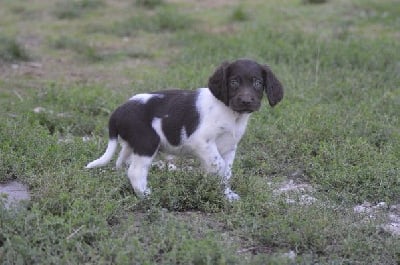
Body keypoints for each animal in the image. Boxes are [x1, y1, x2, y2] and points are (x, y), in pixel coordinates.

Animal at [86, 58, 282, 200]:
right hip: (147, 142)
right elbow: (219, 166)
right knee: (135, 172)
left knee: (121, 163)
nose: (246, 101)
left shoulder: (229, 148)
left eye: (258, 83)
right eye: (234, 82)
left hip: (131, 145)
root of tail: (118, 111)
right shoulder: (202, 142)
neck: (231, 113)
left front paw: (224, 194)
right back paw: (147, 196)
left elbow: (226, 172)